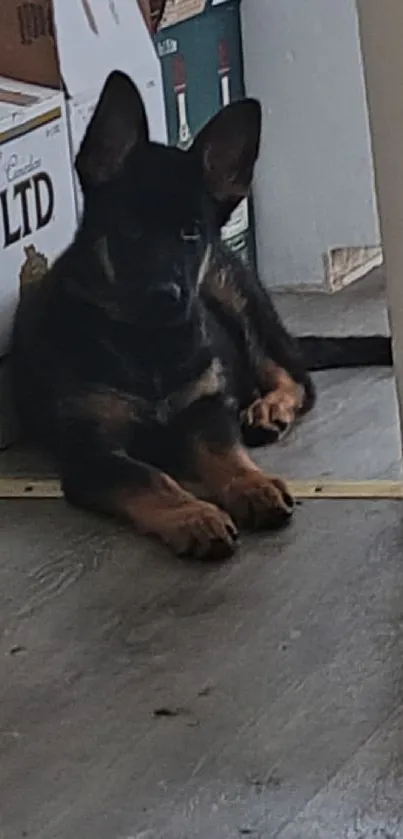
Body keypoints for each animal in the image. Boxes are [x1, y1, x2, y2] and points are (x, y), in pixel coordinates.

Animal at [11, 70, 316, 556]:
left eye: (191, 232)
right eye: (129, 229)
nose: (166, 296)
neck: (147, 343)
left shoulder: (205, 410)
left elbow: (225, 453)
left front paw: (252, 486)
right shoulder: (91, 452)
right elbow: (149, 478)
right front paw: (193, 515)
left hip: (232, 296)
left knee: (295, 375)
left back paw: (269, 408)